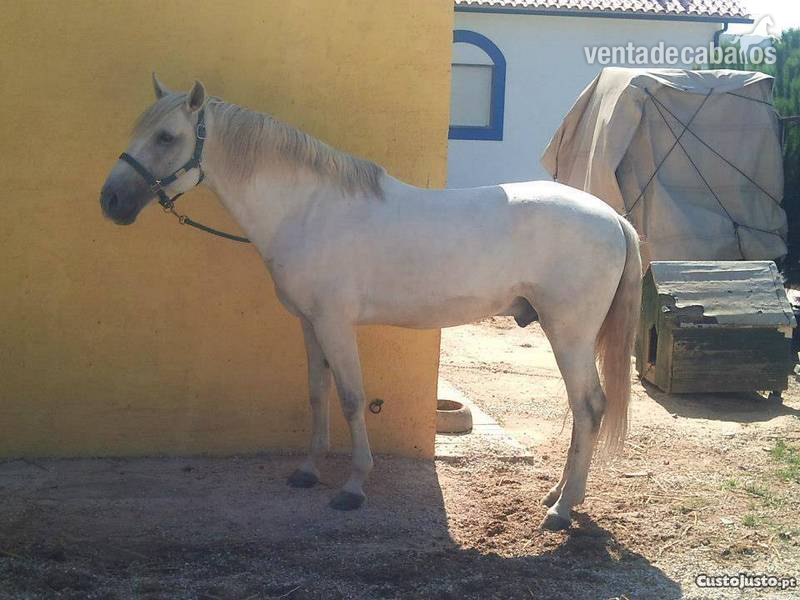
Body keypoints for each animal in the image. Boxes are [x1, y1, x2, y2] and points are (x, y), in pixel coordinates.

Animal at [99, 75, 642, 531]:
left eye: (166, 137)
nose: (110, 202)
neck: (308, 210)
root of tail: (613, 218)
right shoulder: (310, 324)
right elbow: (317, 394)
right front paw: (307, 470)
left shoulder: (336, 323)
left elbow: (351, 398)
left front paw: (354, 487)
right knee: (580, 409)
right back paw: (557, 496)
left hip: (568, 333)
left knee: (589, 406)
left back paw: (563, 509)